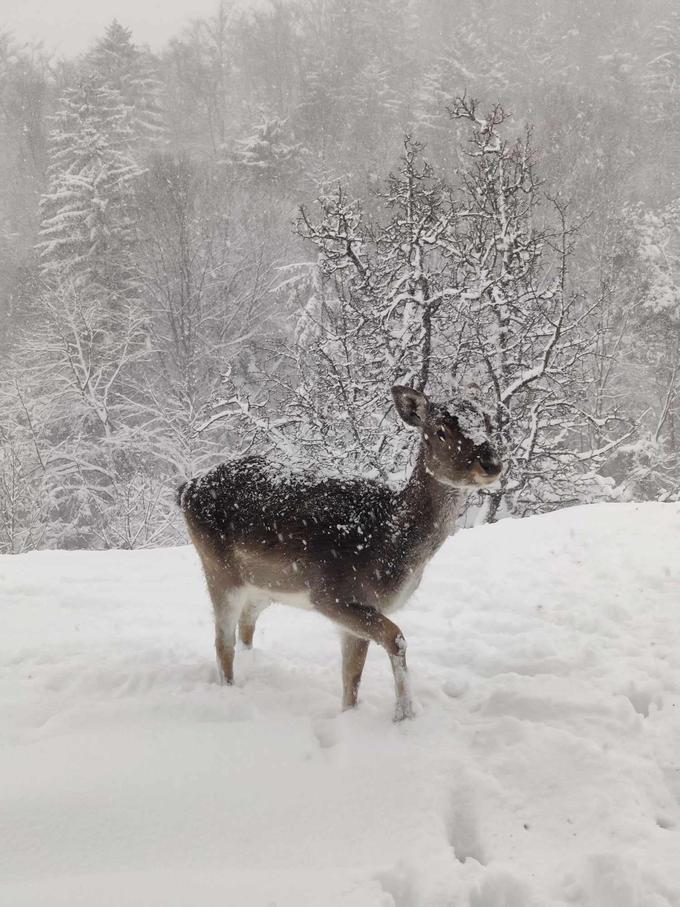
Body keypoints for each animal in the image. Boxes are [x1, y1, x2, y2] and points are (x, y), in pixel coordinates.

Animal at [178, 386, 502, 720]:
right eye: (440, 431)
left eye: (488, 422)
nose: (491, 463)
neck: (389, 538)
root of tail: (187, 487)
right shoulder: (331, 594)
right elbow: (396, 638)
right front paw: (403, 714)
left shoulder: (363, 609)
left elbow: (352, 676)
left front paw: (350, 714)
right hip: (219, 570)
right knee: (222, 641)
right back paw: (230, 692)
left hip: (264, 588)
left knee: (246, 625)